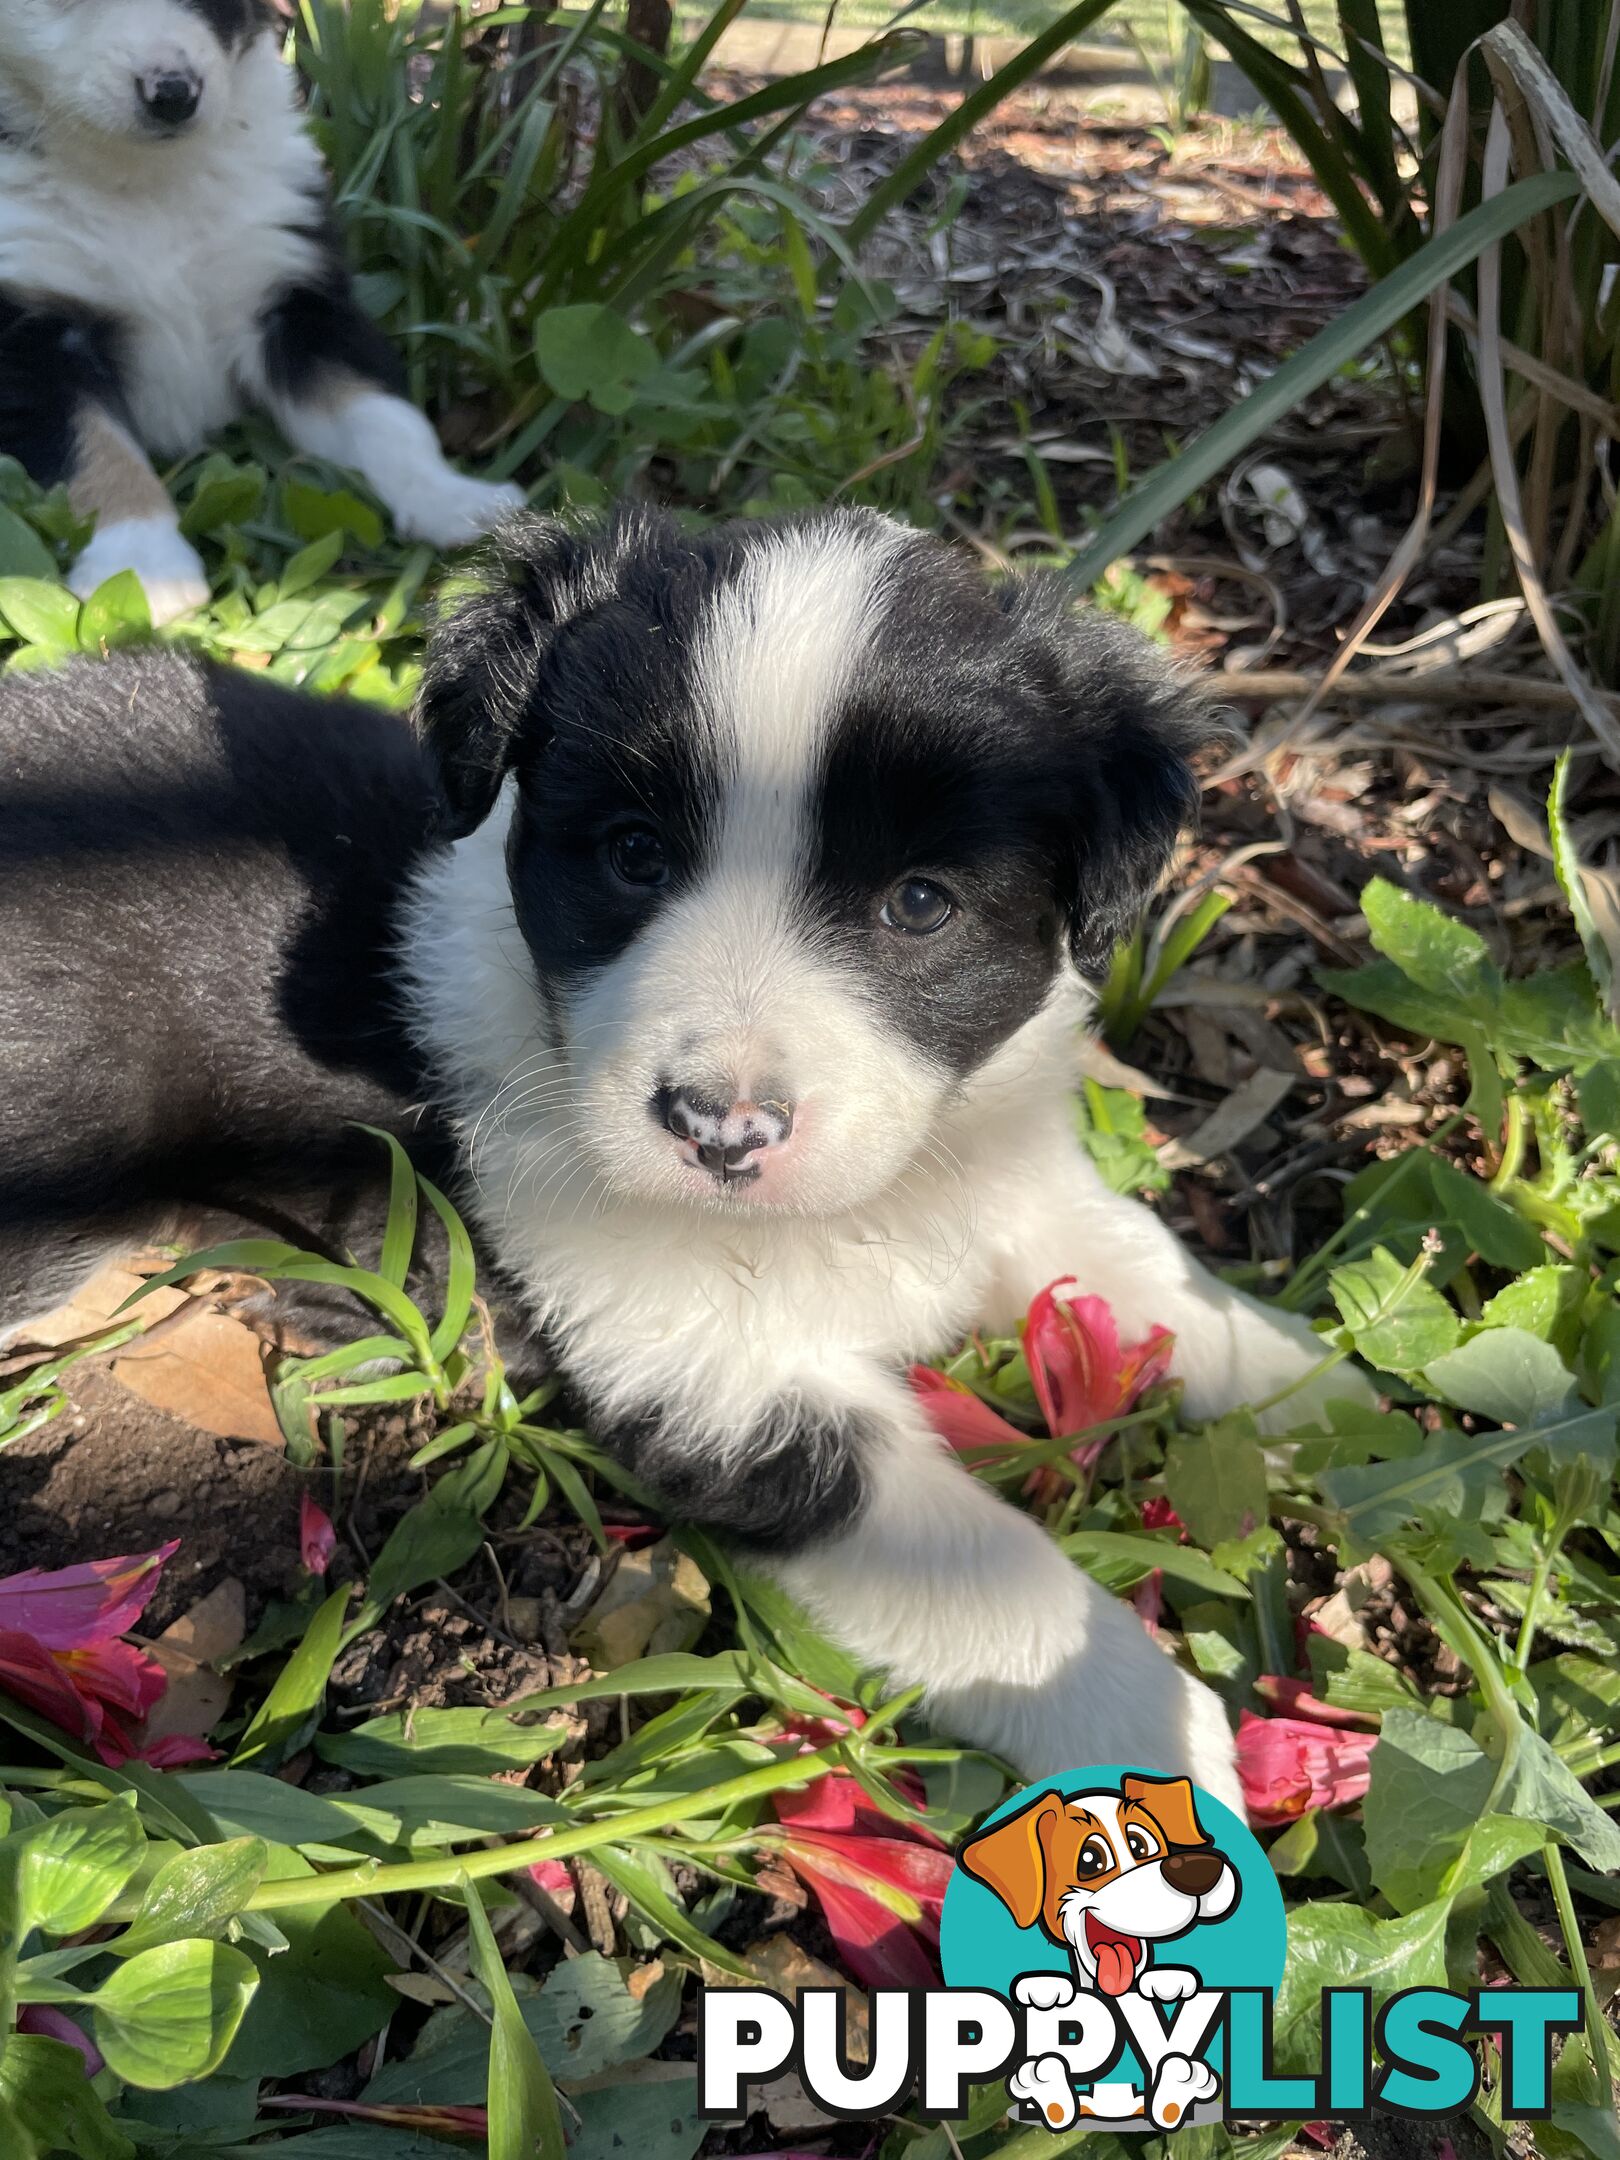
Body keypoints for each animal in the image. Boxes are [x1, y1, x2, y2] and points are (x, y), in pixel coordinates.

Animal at [0, 2, 520, 626]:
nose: (173, 93)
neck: (145, 181)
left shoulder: (294, 297)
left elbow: (383, 412)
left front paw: (452, 497)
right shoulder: (30, 342)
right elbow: (93, 446)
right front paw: (142, 566)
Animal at [0, 505, 1356, 1805]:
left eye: (921, 903)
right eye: (633, 853)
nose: (721, 1130)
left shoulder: (1001, 1170)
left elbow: (1134, 1257)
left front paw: (1316, 1389)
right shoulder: (720, 1385)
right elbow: (985, 1572)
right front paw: (1160, 1736)